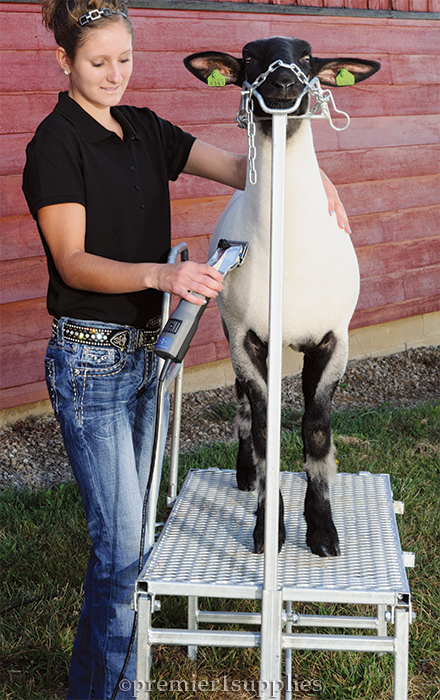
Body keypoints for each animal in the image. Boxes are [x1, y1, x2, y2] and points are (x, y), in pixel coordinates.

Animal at [184, 37, 380, 556]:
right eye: (250, 57)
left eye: (308, 58)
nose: (285, 82)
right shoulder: (247, 341)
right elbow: (264, 431)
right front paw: (267, 530)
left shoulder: (334, 339)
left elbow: (316, 428)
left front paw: (323, 532)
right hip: (231, 330)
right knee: (241, 407)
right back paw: (246, 475)